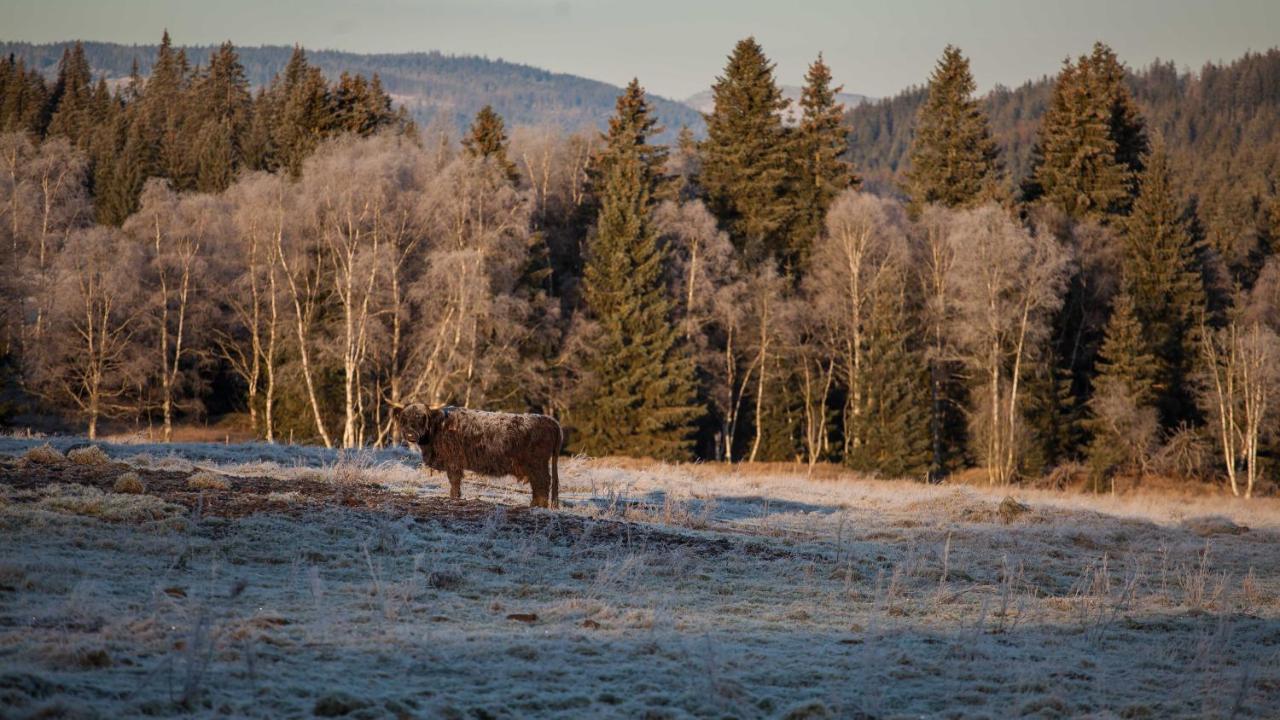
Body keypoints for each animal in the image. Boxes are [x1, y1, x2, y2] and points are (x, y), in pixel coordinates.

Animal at [394, 404, 565, 504]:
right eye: (404, 418)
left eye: (421, 417)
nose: (410, 434)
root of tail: (551, 421)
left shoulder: (453, 462)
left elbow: (454, 481)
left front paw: (454, 497)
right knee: (538, 485)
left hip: (537, 465)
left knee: (542, 484)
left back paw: (538, 506)